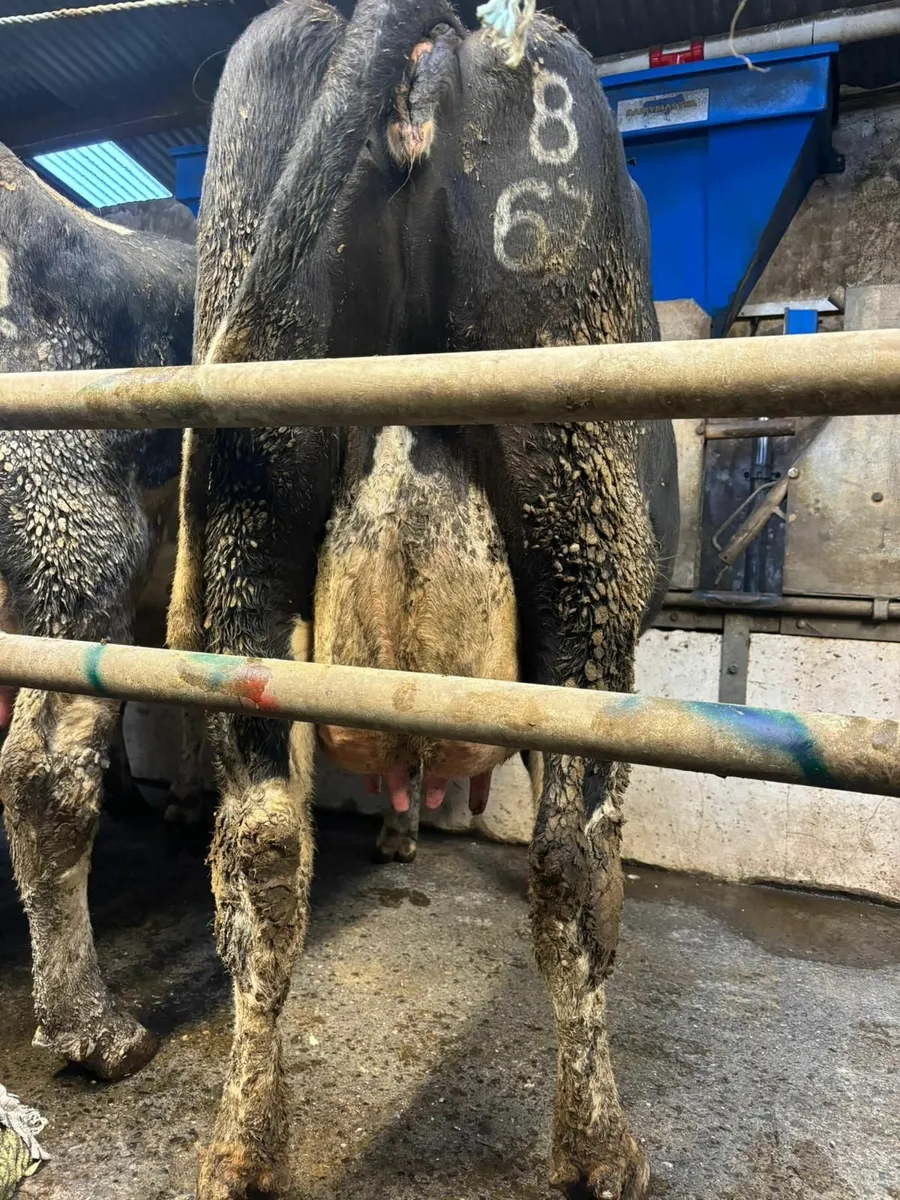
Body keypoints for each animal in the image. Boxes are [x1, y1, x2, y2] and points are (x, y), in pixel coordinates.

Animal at [165, 1, 679, 1197]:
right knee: (570, 859)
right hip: (584, 508)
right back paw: (603, 1150)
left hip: (250, 497)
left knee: (263, 845)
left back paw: (243, 1145)